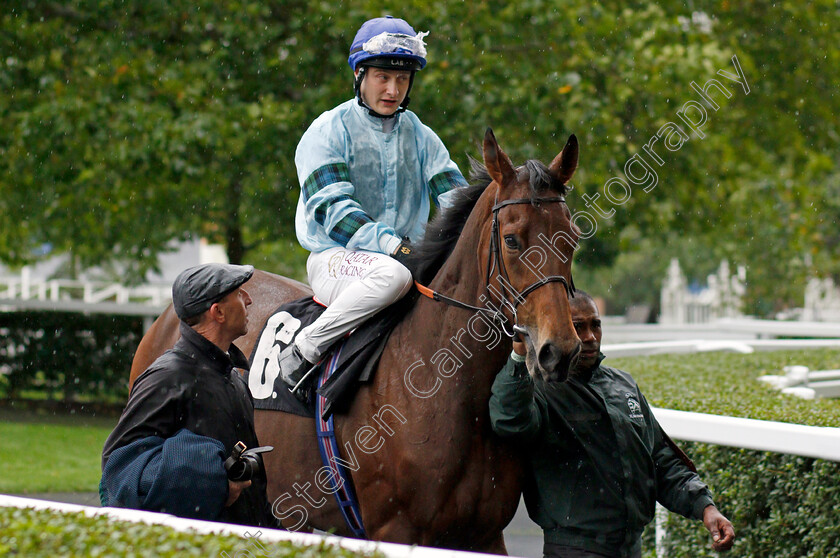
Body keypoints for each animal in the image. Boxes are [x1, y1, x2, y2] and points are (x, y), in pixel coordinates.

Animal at [131, 129, 580, 552]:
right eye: (512, 239)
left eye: (572, 238)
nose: (559, 350)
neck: (445, 386)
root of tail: (166, 318)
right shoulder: (395, 528)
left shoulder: (484, 535)